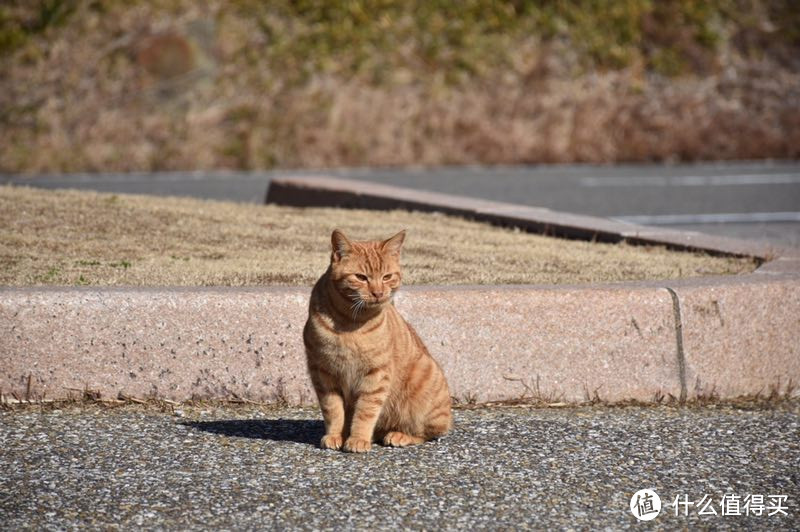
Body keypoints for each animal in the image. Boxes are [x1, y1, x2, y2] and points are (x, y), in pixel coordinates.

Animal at [304, 229, 454, 454]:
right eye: (360, 277)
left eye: (387, 277)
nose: (378, 293)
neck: (350, 322)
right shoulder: (324, 374)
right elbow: (333, 410)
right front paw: (335, 435)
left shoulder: (375, 375)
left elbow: (365, 412)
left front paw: (358, 439)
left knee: (429, 433)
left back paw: (398, 435)